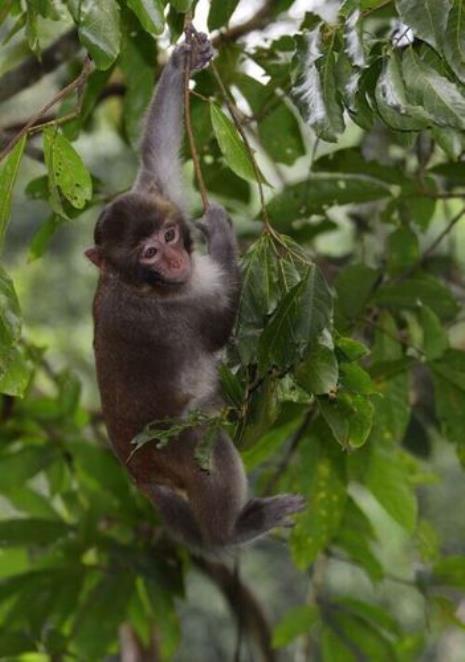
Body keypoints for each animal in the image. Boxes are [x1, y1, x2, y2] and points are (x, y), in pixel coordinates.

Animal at [85, 32, 304, 556]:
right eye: (148, 253)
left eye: (167, 236)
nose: (173, 259)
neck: (140, 285)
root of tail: (138, 474)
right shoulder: (171, 317)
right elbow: (225, 321)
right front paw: (223, 234)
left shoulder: (154, 194)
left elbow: (157, 158)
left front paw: (184, 60)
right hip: (175, 448)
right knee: (208, 440)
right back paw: (231, 531)